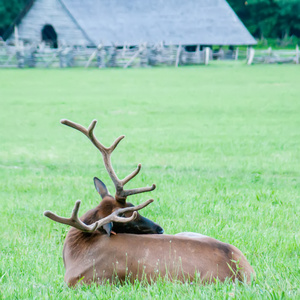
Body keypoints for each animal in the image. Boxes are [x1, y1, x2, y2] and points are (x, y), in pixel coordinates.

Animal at [44, 119, 255, 286]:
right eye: (128, 215)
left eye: (132, 209)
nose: (160, 230)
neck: (76, 253)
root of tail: (242, 273)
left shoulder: (89, 281)